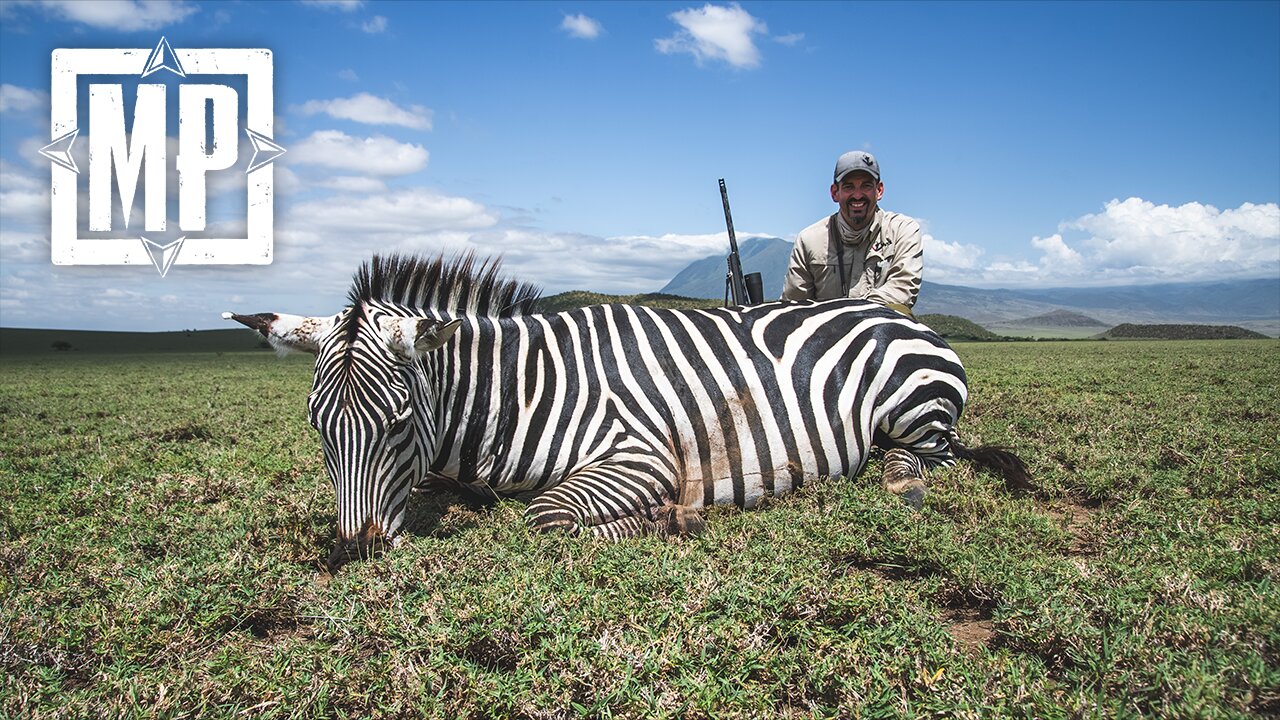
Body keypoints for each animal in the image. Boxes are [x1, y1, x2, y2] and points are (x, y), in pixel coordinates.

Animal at [226, 253, 1030, 569]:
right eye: (318, 431)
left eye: (395, 424)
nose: (352, 552)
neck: (522, 390)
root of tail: (903, 318)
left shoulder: (640, 453)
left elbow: (544, 519)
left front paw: (673, 519)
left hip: (914, 408)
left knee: (929, 457)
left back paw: (897, 480)